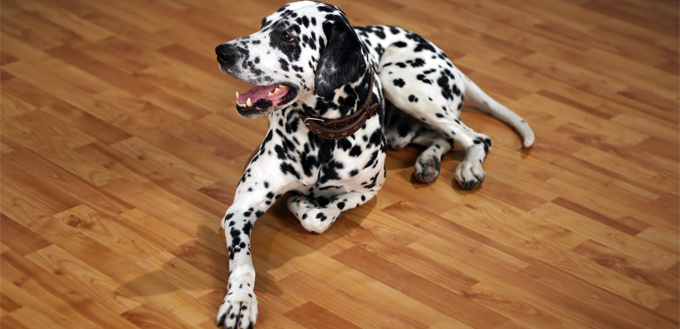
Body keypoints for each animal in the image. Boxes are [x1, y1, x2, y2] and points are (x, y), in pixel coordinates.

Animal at [215, 1, 532, 326]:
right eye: (263, 24)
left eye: (288, 35)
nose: (222, 52)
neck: (323, 138)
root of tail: (444, 56)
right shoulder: (240, 210)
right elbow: (243, 263)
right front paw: (240, 301)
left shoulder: (369, 190)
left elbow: (321, 216)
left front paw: (302, 204)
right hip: (404, 125)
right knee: (445, 138)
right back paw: (428, 162)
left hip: (405, 86)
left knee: (477, 138)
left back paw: (469, 168)